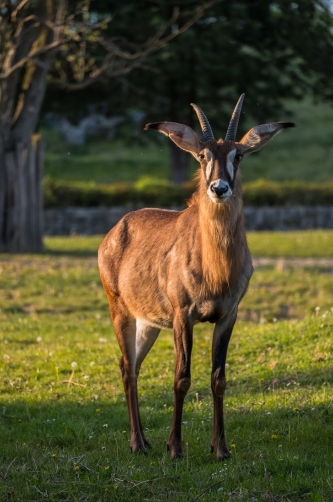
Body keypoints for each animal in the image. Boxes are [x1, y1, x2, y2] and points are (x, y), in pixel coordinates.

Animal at [97, 96, 294, 460]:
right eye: (203, 156)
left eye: (238, 155)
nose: (219, 188)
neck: (215, 267)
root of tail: (115, 231)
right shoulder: (182, 316)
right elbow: (182, 378)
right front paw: (175, 448)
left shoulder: (228, 315)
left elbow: (219, 379)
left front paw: (221, 448)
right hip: (120, 310)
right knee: (128, 368)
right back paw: (138, 443)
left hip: (148, 323)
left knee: (131, 365)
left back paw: (144, 441)